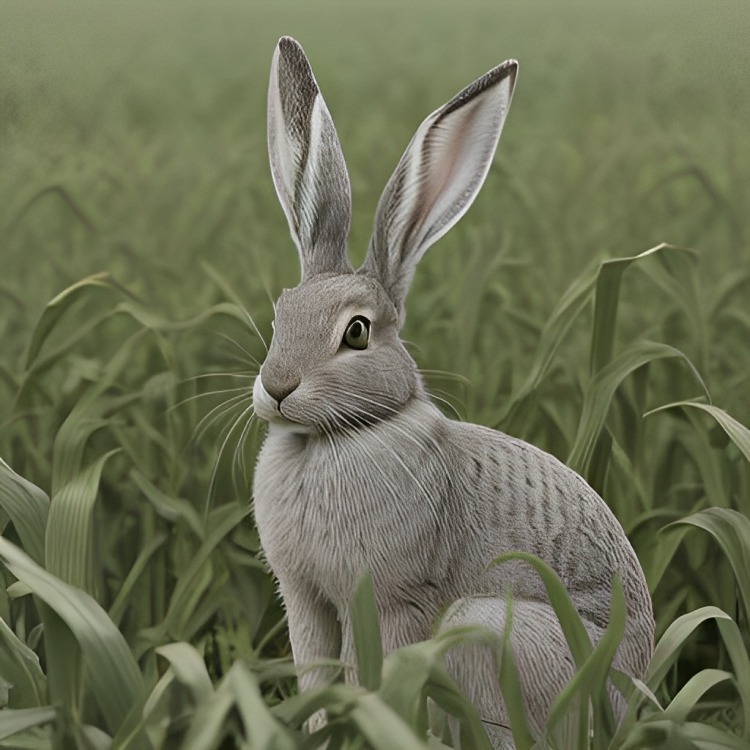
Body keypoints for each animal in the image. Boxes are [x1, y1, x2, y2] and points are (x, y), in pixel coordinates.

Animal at [252, 36, 654, 747]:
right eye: (280, 313)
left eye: (357, 332)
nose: (276, 388)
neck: (339, 435)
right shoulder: (305, 601)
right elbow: (317, 676)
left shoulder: (395, 601)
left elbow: (377, 675)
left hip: (485, 630)